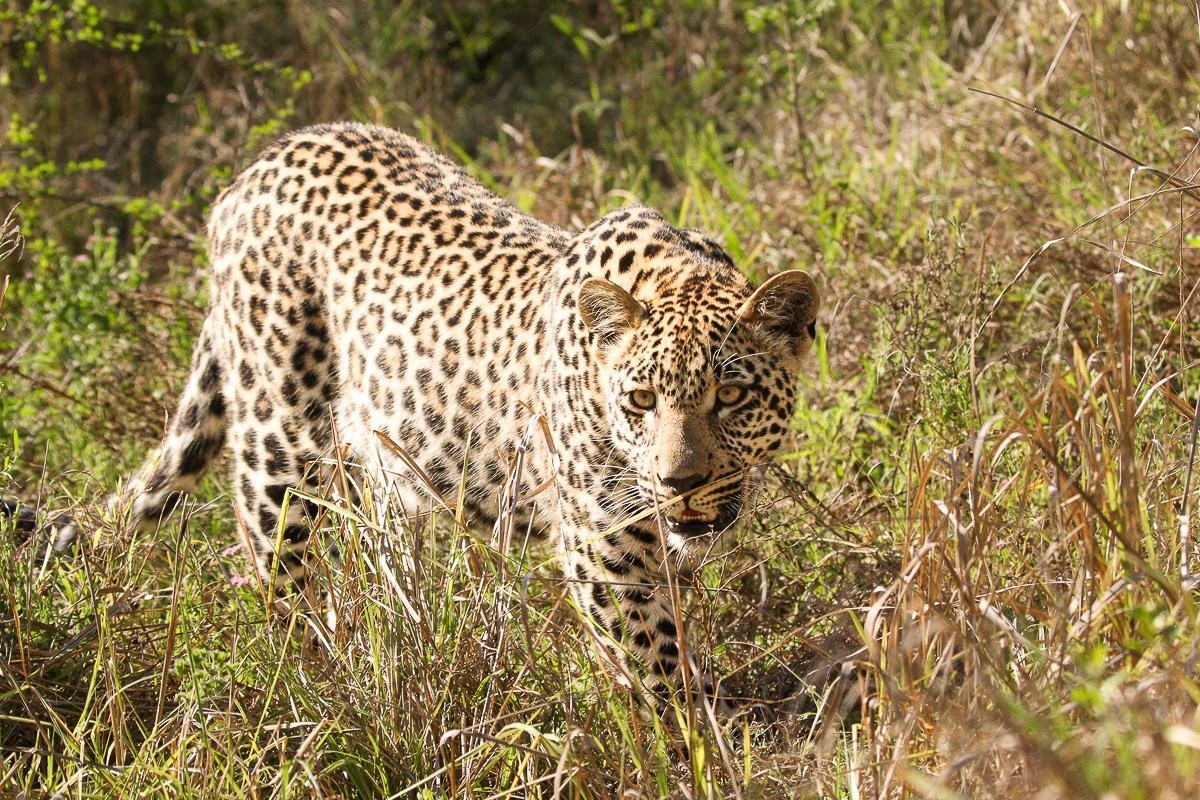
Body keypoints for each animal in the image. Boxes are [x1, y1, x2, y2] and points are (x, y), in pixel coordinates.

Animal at [14, 122, 820, 711]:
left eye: (731, 398)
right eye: (642, 402)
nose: (680, 482)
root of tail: (257, 166)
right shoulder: (606, 548)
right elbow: (657, 667)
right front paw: (706, 740)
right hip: (280, 447)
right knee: (280, 572)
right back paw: (323, 689)